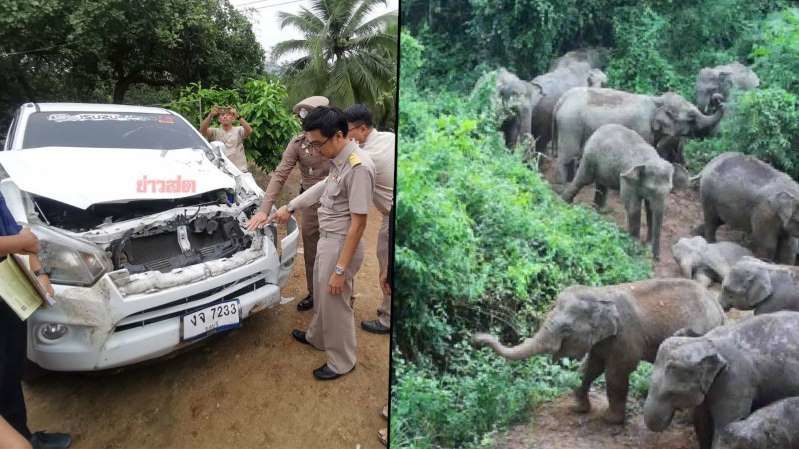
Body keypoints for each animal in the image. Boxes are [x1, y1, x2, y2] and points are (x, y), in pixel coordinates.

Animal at [476, 280, 732, 424]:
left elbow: (616, 373)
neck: (600, 293)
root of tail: (719, 308)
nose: (476, 337)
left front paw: (610, 421)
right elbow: (591, 366)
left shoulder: (626, 335)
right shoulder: (604, 339)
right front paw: (578, 409)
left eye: (566, 329)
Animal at [552, 87, 720, 182]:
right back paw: (564, 182)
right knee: (567, 154)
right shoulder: (642, 129)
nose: (717, 99)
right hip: (570, 124)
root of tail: (560, 101)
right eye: (692, 117)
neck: (657, 100)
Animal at [560, 123, 692, 260]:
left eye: (670, 190)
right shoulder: (627, 179)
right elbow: (633, 207)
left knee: (601, 184)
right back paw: (564, 202)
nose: (656, 258)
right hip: (590, 158)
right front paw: (635, 248)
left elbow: (650, 209)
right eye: (650, 189)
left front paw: (647, 245)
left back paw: (599, 211)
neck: (649, 159)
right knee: (583, 180)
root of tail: (599, 129)